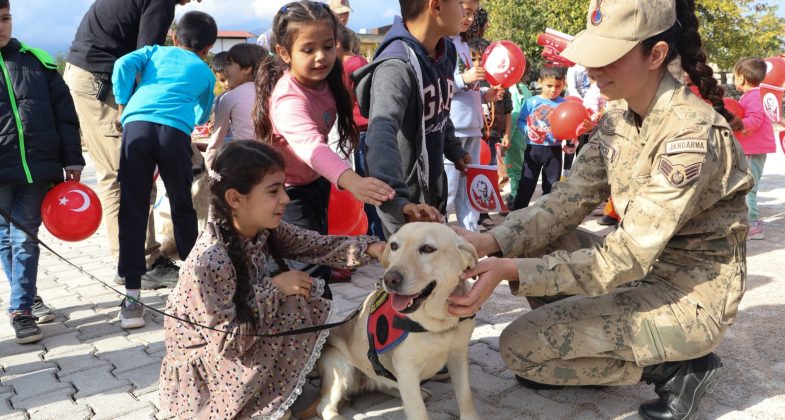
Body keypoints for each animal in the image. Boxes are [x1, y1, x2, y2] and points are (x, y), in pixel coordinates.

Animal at [316, 221, 478, 418]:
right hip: (340, 368)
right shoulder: (407, 370)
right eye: (394, 246)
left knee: (385, 385)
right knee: (323, 406)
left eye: (428, 248)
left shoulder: (458, 355)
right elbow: (418, 412)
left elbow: (466, 397)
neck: (436, 322)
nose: (390, 279)